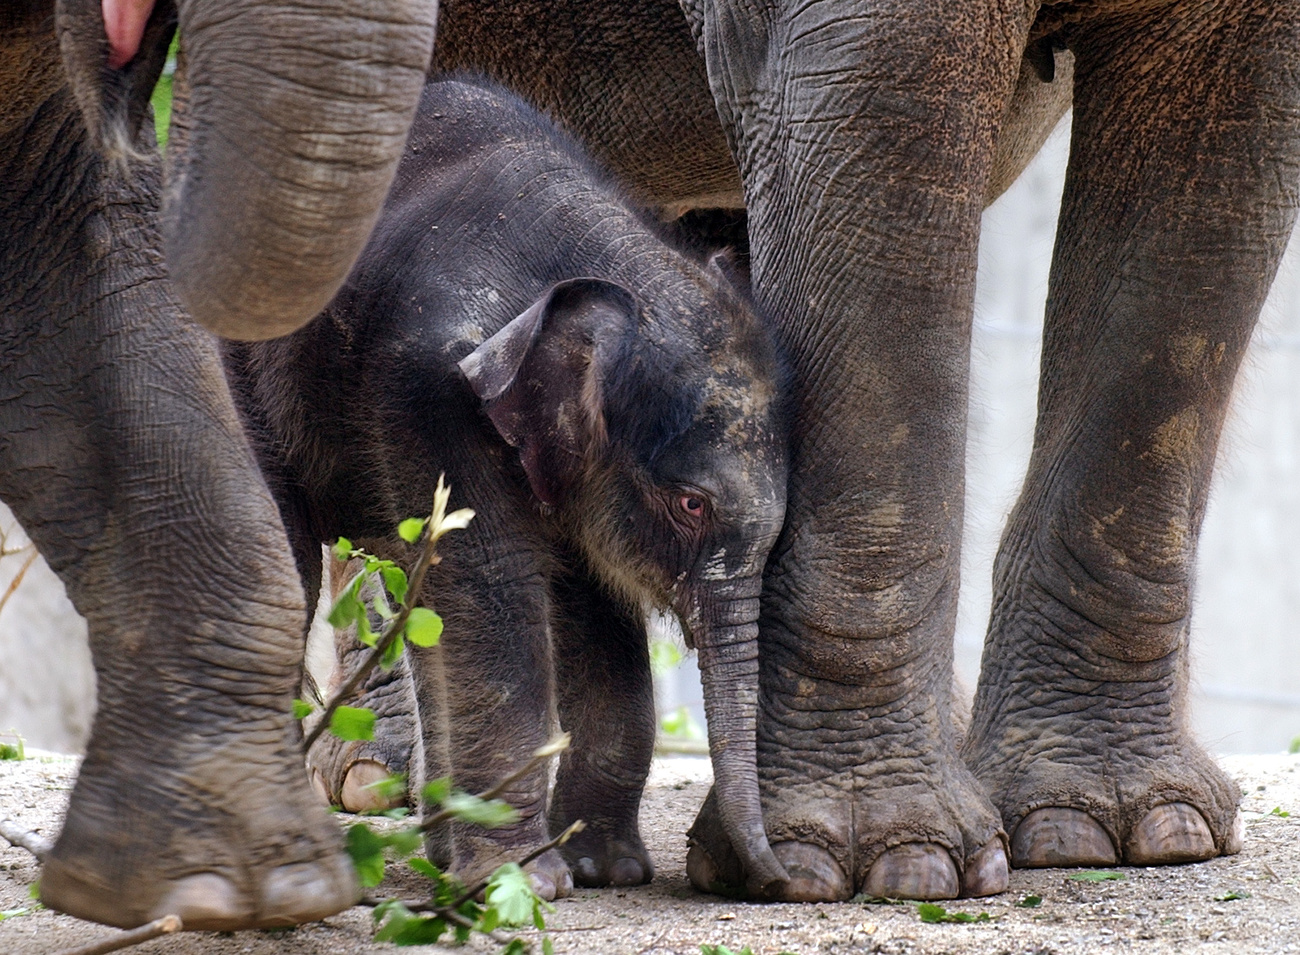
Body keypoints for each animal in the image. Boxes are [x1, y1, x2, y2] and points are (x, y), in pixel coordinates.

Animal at [224, 76, 785, 904]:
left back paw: (439, 847)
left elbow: (592, 606)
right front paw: (527, 887)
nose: (776, 879)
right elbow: (497, 586)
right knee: (289, 556)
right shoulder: (426, 390)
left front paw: (605, 869)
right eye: (692, 504)